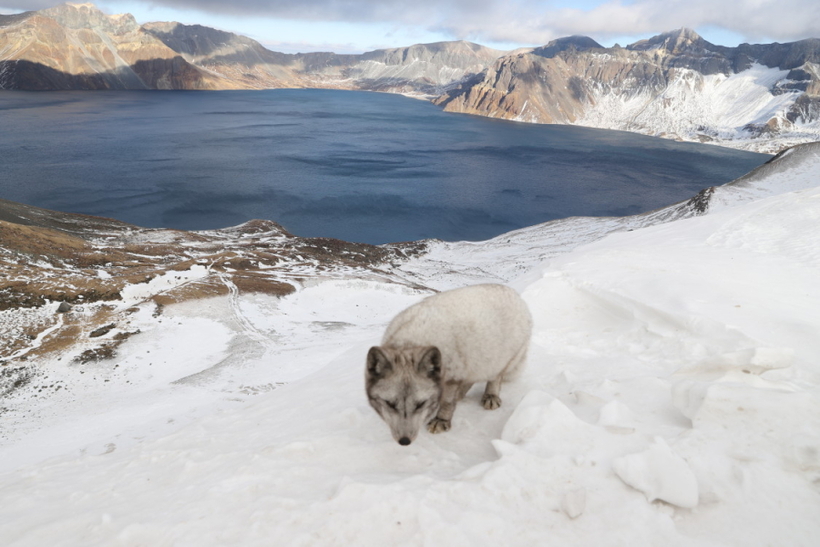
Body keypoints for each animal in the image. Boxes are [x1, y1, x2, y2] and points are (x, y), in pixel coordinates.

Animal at [366, 284, 532, 448]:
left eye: (421, 404)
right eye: (389, 404)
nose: (404, 441)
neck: (410, 342)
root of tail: (513, 293)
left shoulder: (453, 375)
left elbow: (447, 402)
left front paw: (441, 420)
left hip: (502, 359)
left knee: (495, 378)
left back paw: (491, 395)